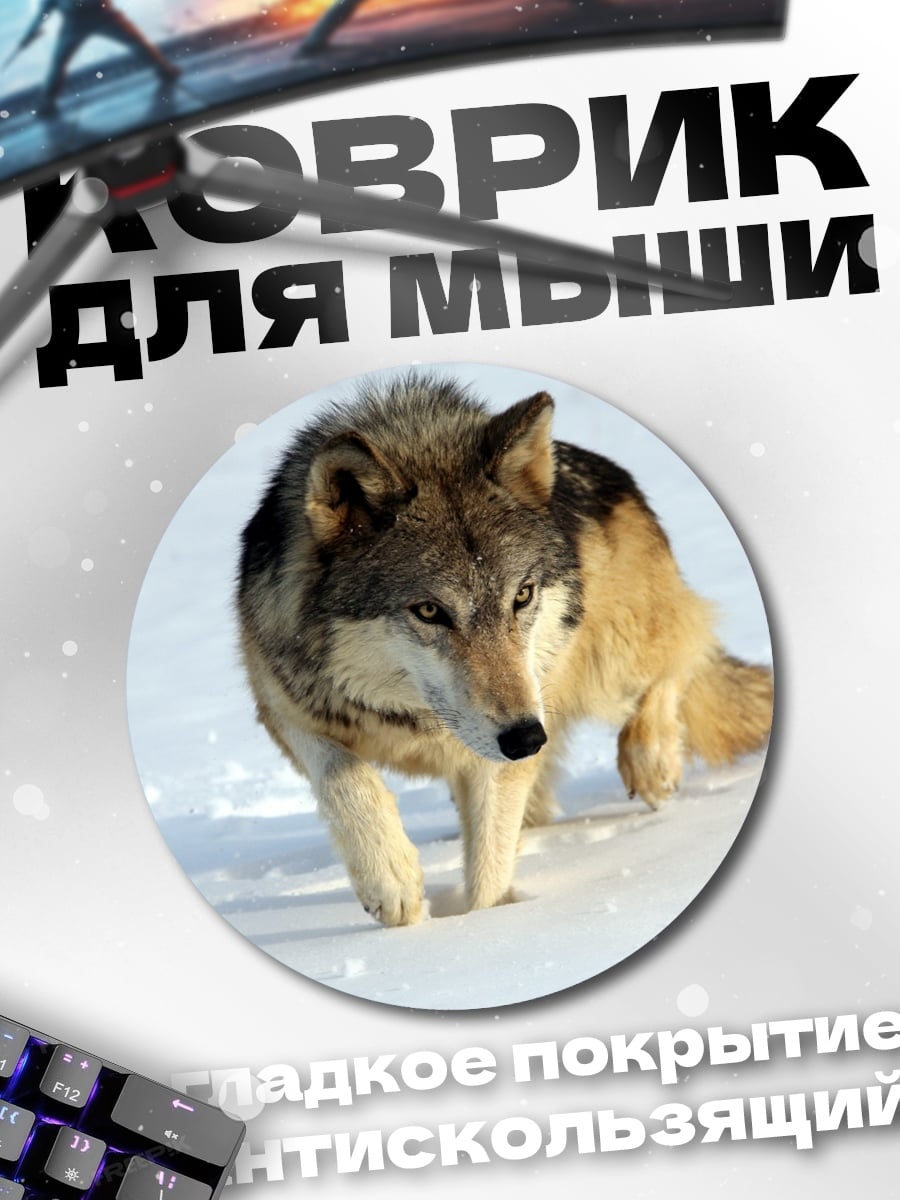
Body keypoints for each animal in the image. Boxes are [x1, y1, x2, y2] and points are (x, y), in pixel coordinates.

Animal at [237, 374, 773, 926]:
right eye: (429, 611)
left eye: (522, 595)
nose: (525, 738)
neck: (417, 723)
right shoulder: (285, 706)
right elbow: (343, 779)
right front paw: (392, 880)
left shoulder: (506, 749)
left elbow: (489, 869)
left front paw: (486, 926)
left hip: (605, 663)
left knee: (684, 650)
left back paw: (653, 762)